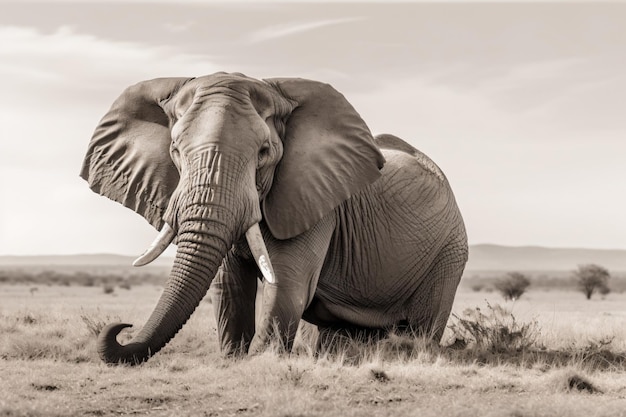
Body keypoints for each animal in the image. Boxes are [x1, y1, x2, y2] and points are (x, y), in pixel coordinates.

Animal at [80, 72, 466, 364]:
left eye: (264, 153)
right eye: (175, 150)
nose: (122, 328)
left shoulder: (312, 199)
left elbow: (288, 282)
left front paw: (258, 360)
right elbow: (230, 285)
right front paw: (233, 359)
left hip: (449, 251)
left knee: (422, 326)